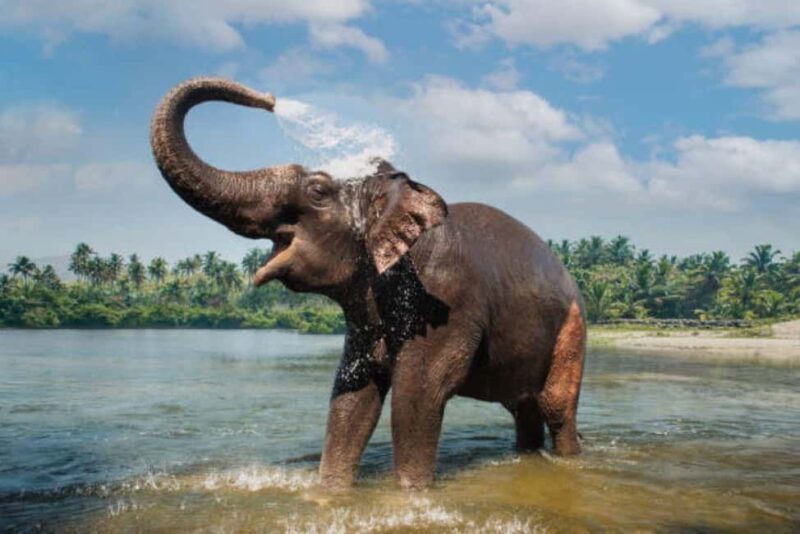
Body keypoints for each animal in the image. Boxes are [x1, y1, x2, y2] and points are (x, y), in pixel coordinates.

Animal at [150, 77, 587, 490]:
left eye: (317, 190)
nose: (270, 99)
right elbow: (353, 394)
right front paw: (330, 492)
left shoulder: (446, 300)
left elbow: (418, 394)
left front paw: (411, 494)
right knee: (523, 408)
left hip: (573, 328)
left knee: (555, 408)